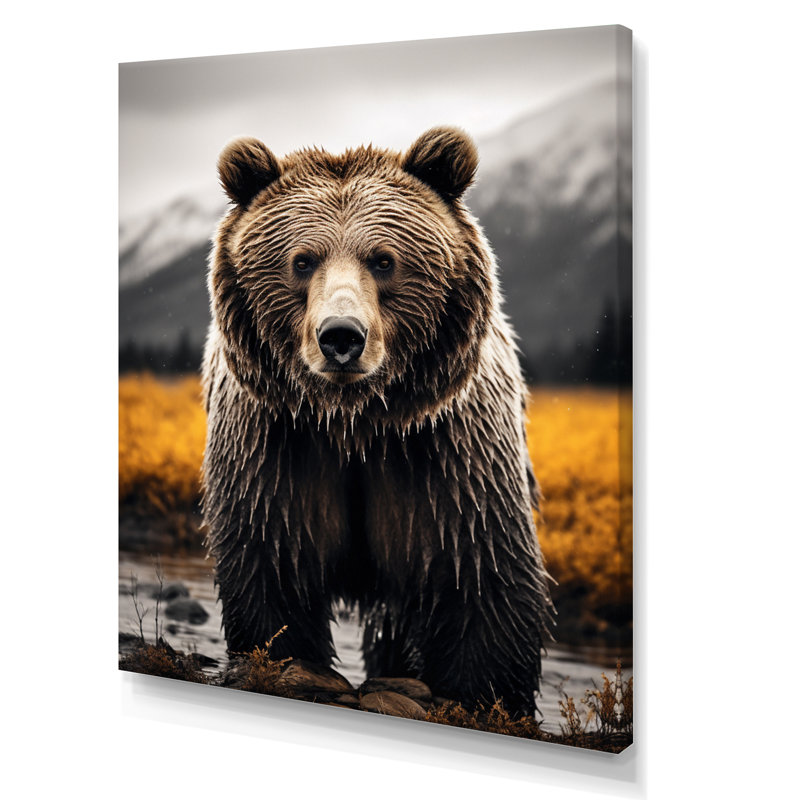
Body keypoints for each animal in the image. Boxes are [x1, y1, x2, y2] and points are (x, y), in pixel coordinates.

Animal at [201, 127, 554, 716]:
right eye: (302, 261)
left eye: (384, 260)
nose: (341, 336)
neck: (356, 422)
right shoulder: (276, 444)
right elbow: (273, 558)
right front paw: (281, 661)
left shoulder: (446, 453)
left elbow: (479, 571)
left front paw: (485, 695)